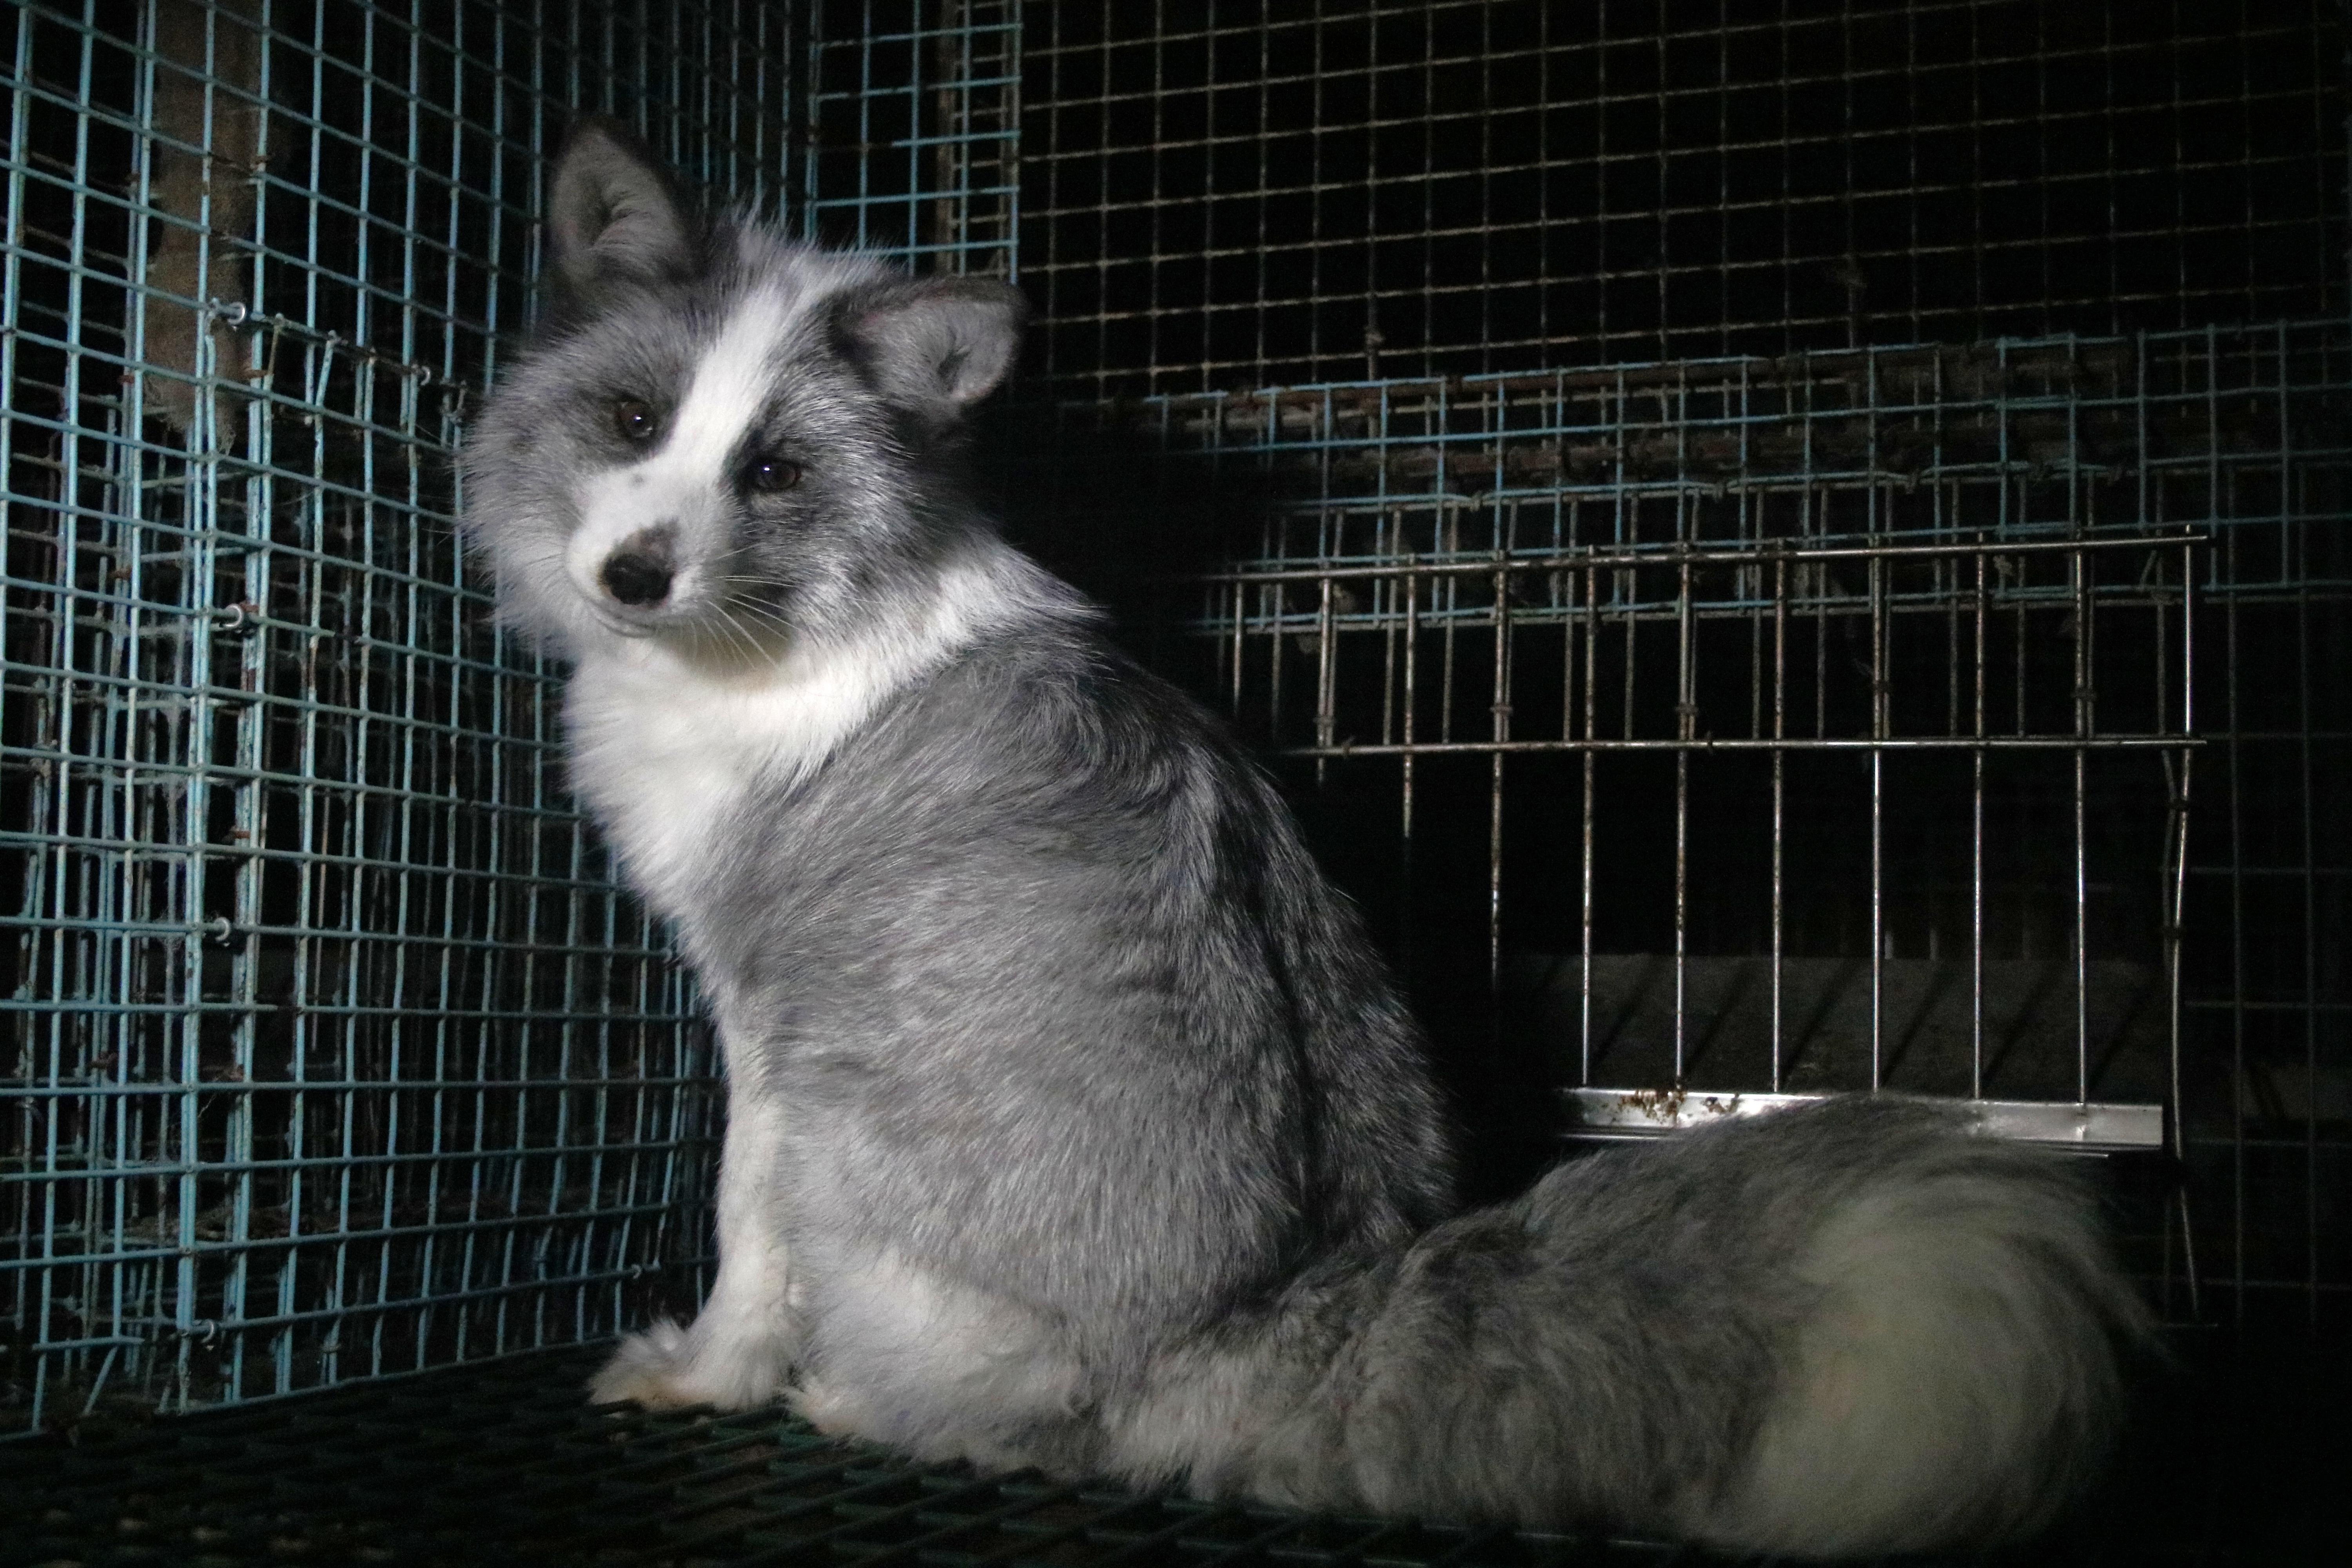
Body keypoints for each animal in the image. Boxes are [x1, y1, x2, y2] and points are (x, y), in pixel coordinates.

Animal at [459, 118, 2147, 1557]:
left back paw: (859, 1403)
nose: (633, 575)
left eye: (775, 471)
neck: (801, 628)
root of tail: (1268, 1314)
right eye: (633, 418)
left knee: (1024, 1424)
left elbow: (741, 1230)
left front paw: (709, 1374)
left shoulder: (763, 1013)